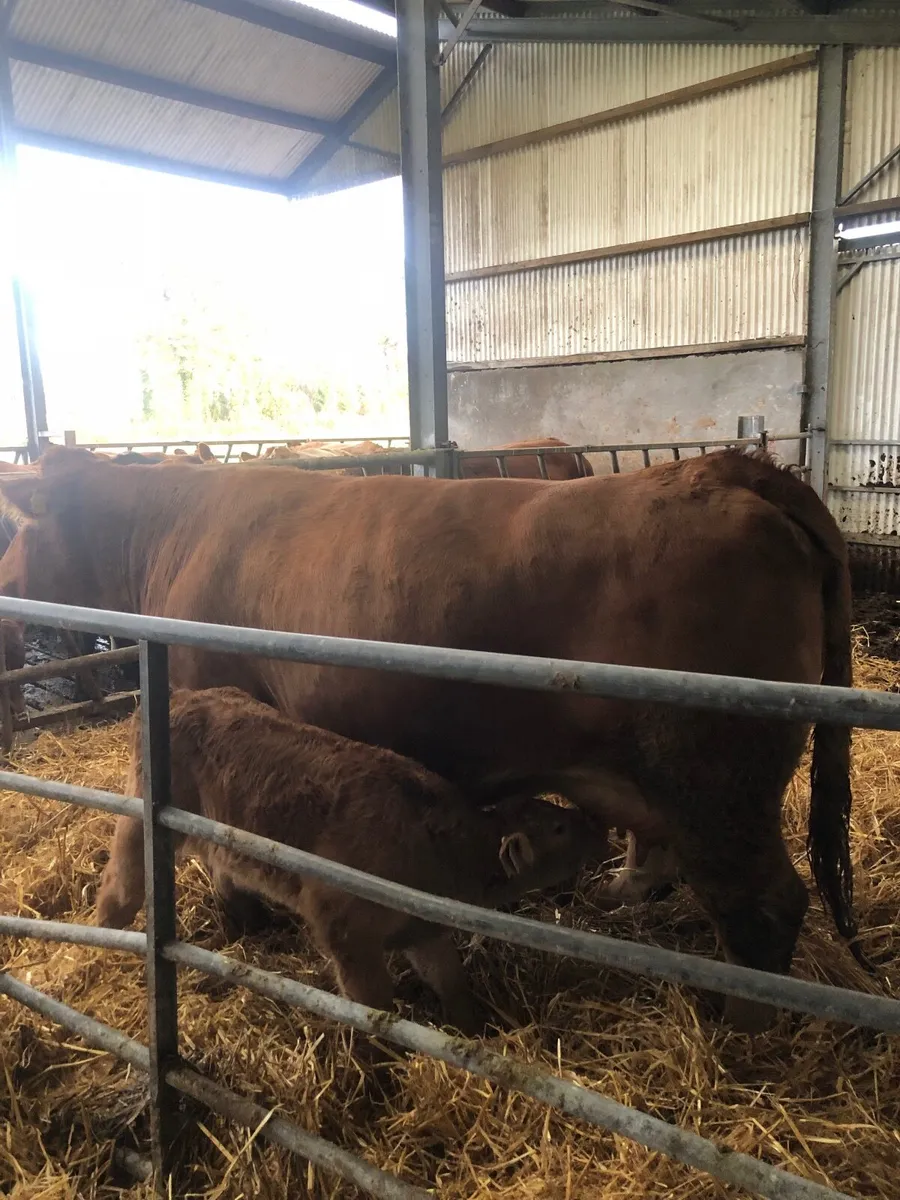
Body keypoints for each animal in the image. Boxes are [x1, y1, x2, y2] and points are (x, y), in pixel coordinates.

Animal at [96, 686, 597, 1033]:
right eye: (558, 828)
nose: (599, 825)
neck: (439, 845)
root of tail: (182, 695)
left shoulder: (423, 932)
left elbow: (450, 982)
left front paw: (474, 1030)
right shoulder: (344, 930)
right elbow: (374, 1007)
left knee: (223, 871)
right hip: (141, 819)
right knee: (121, 881)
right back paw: (103, 937)